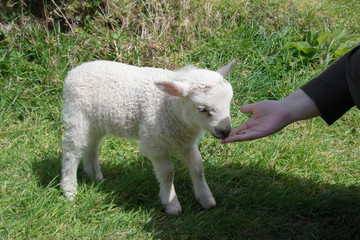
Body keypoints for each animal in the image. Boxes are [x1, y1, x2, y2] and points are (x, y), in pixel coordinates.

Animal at [61, 59, 236, 215]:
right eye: (202, 109)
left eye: (229, 101)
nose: (225, 131)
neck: (169, 107)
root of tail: (74, 71)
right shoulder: (154, 144)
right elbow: (167, 173)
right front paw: (171, 204)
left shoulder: (185, 142)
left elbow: (198, 167)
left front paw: (206, 199)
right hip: (77, 115)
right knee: (72, 151)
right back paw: (69, 190)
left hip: (96, 122)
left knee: (92, 146)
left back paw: (94, 175)